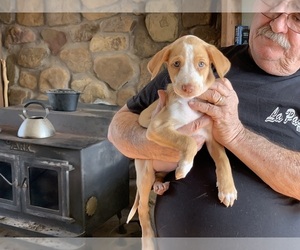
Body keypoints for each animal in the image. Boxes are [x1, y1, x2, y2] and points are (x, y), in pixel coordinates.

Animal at [127, 35, 238, 250]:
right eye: (176, 64)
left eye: (201, 64)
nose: (188, 88)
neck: (189, 104)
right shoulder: (157, 127)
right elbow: (187, 141)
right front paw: (185, 166)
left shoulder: (211, 136)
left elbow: (223, 159)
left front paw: (228, 189)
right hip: (144, 171)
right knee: (143, 211)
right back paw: (148, 241)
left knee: (158, 179)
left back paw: (160, 186)